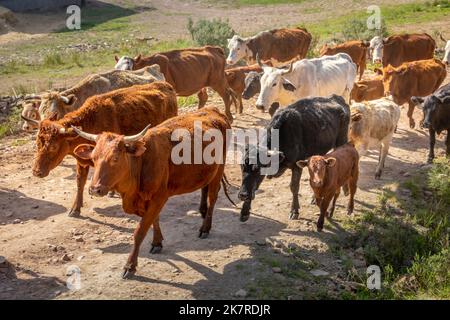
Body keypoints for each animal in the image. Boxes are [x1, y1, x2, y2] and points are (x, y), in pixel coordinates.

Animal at [27, 82, 178, 218]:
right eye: (37, 144)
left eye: (53, 146)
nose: (36, 172)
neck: (91, 121)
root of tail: (166, 85)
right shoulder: (82, 161)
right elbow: (80, 182)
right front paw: (75, 209)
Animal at [237, 94, 350, 229]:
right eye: (242, 167)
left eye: (257, 168)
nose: (242, 195)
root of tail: (336, 98)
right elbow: (254, 186)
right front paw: (244, 211)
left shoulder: (297, 166)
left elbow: (294, 187)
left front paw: (294, 211)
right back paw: (315, 197)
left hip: (341, 141)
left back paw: (345, 189)